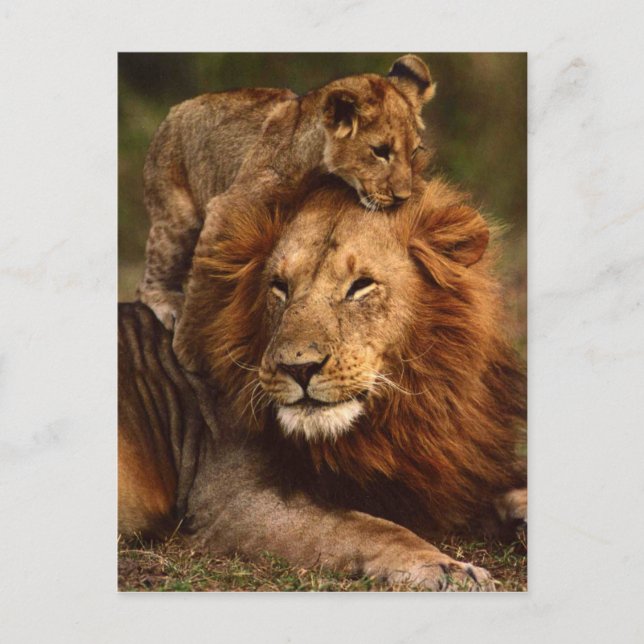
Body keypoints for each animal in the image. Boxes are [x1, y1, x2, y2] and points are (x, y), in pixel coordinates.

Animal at [119, 177, 526, 591]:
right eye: (279, 286)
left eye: (361, 286)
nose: (299, 368)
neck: (396, 416)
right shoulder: (227, 500)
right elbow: (369, 528)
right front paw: (448, 567)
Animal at [137, 55, 435, 330]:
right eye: (380, 151)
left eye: (414, 152)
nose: (402, 198)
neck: (318, 168)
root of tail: (173, 112)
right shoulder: (227, 207)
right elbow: (209, 277)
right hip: (177, 219)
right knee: (149, 279)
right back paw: (166, 302)